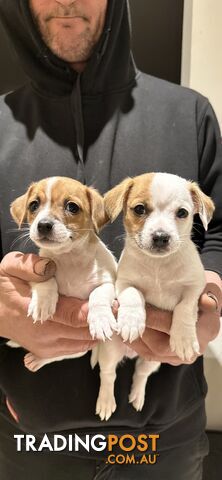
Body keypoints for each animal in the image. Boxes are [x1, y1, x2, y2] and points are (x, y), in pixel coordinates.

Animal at [9, 178, 117, 374]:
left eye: (72, 207)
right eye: (33, 205)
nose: (43, 224)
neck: (69, 258)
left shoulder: (107, 283)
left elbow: (98, 295)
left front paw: (101, 320)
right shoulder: (37, 270)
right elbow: (46, 280)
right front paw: (43, 303)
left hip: (74, 350)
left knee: (56, 355)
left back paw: (36, 359)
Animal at [94, 172, 215, 416]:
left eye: (182, 213)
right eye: (139, 209)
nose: (161, 236)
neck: (158, 265)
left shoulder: (195, 287)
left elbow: (185, 308)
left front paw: (184, 338)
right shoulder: (125, 282)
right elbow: (133, 296)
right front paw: (132, 321)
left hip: (153, 359)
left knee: (141, 373)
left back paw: (137, 396)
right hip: (110, 351)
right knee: (108, 374)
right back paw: (106, 401)